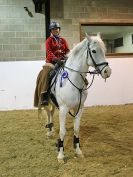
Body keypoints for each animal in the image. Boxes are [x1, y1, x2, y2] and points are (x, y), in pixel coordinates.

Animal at [36, 33, 111, 162]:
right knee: (48, 113)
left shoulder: (79, 108)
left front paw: (78, 151)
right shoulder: (63, 109)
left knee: (51, 112)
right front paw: (60, 154)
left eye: (105, 50)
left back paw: (51, 130)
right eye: (94, 51)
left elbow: (76, 130)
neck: (73, 79)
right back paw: (49, 131)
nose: (107, 71)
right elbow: (62, 132)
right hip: (46, 101)